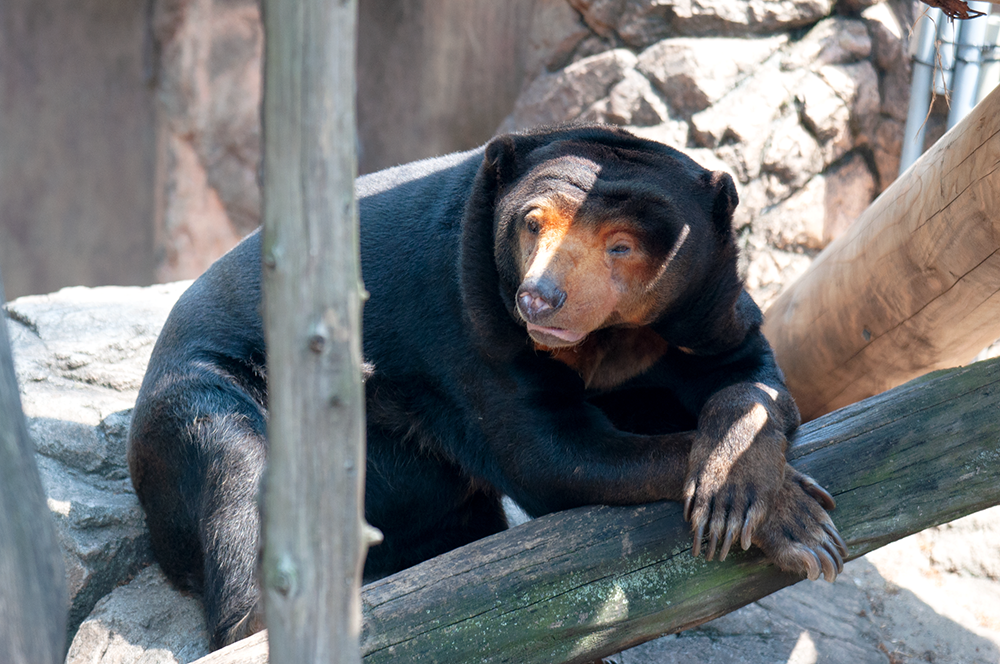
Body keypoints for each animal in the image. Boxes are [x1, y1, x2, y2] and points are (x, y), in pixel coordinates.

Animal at [127, 124, 844, 648]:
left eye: (621, 246)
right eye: (533, 222)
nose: (539, 298)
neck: (609, 338)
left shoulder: (703, 310)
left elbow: (749, 375)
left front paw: (745, 488)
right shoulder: (467, 323)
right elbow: (550, 454)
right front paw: (799, 524)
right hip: (213, 390)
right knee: (238, 468)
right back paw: (265, 616)